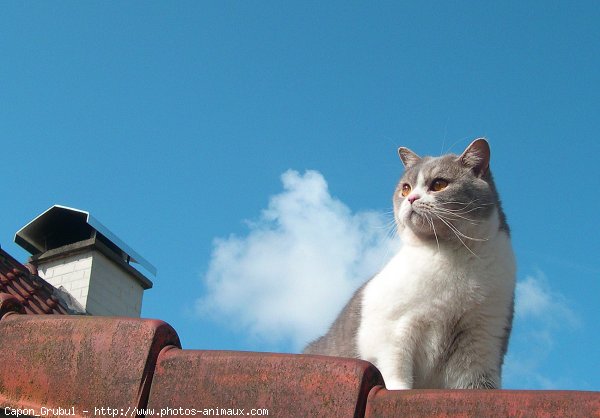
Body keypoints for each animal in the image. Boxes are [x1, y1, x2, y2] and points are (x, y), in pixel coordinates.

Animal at [304, 139, 516, 390]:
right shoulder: (392, 330)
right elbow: (396, 372)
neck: (451, 256)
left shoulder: (482, 339)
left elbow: (477, 383)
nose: (411, 198)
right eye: (405, 188)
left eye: (439, 184)